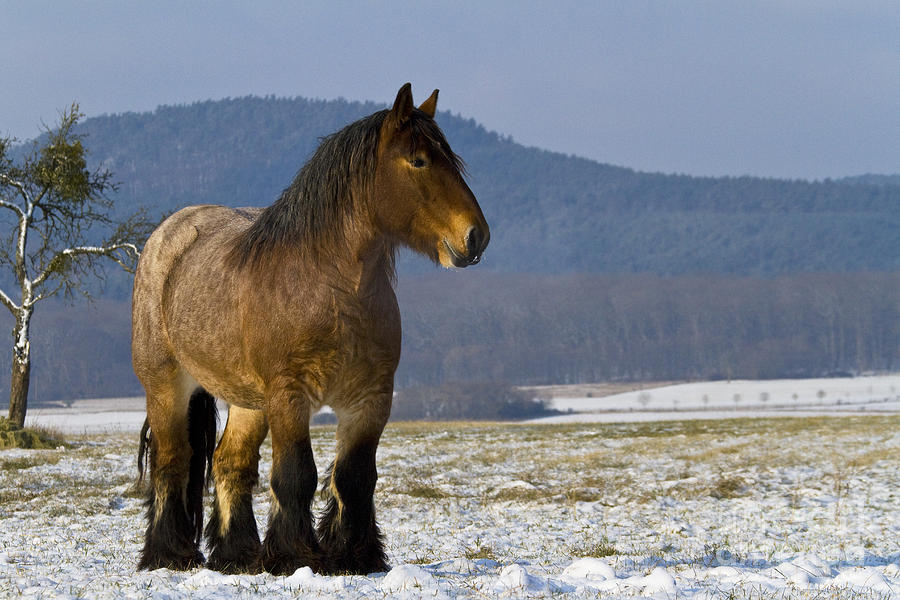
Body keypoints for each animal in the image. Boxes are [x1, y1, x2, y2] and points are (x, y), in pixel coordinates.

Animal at [130, 82, 488, 576]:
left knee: (229, 464)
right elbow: (297, 475)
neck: (333, 290)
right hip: (167, 386)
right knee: (174, 462)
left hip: (249, 403)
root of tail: (167, 235)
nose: (477, 237)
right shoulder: (291, 396)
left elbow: (354, 476)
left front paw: (354, 556)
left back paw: (237, 555)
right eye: (418, 160)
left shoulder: (370, 401)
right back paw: (170, 553)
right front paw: (294, 555)